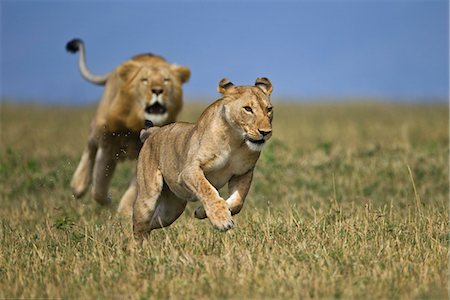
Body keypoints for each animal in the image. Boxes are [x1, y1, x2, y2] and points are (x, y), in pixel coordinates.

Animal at [66, 38, 190, 214]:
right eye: (144, 80)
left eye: (166, 80)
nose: (157, 90)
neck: (135, 124)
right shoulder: (107, 142)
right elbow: (100, 182)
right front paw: (107, 199)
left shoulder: (147, 151)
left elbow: (136, 185)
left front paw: (124, 210)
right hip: (97, 125)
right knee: (90, 148)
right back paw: (78, 185)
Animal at [134, 77, 272, 237]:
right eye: (248, 109)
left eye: (269, 109)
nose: (266, 132)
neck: (235, 140)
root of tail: (154, 131)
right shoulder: (189, 170)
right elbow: (206, 188)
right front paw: (221, 219)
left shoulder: (244, 172)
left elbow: (238, 201)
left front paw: (202, 212)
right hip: (148, 197)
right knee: (139, 226)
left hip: (172, 210)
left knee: (153, 223)